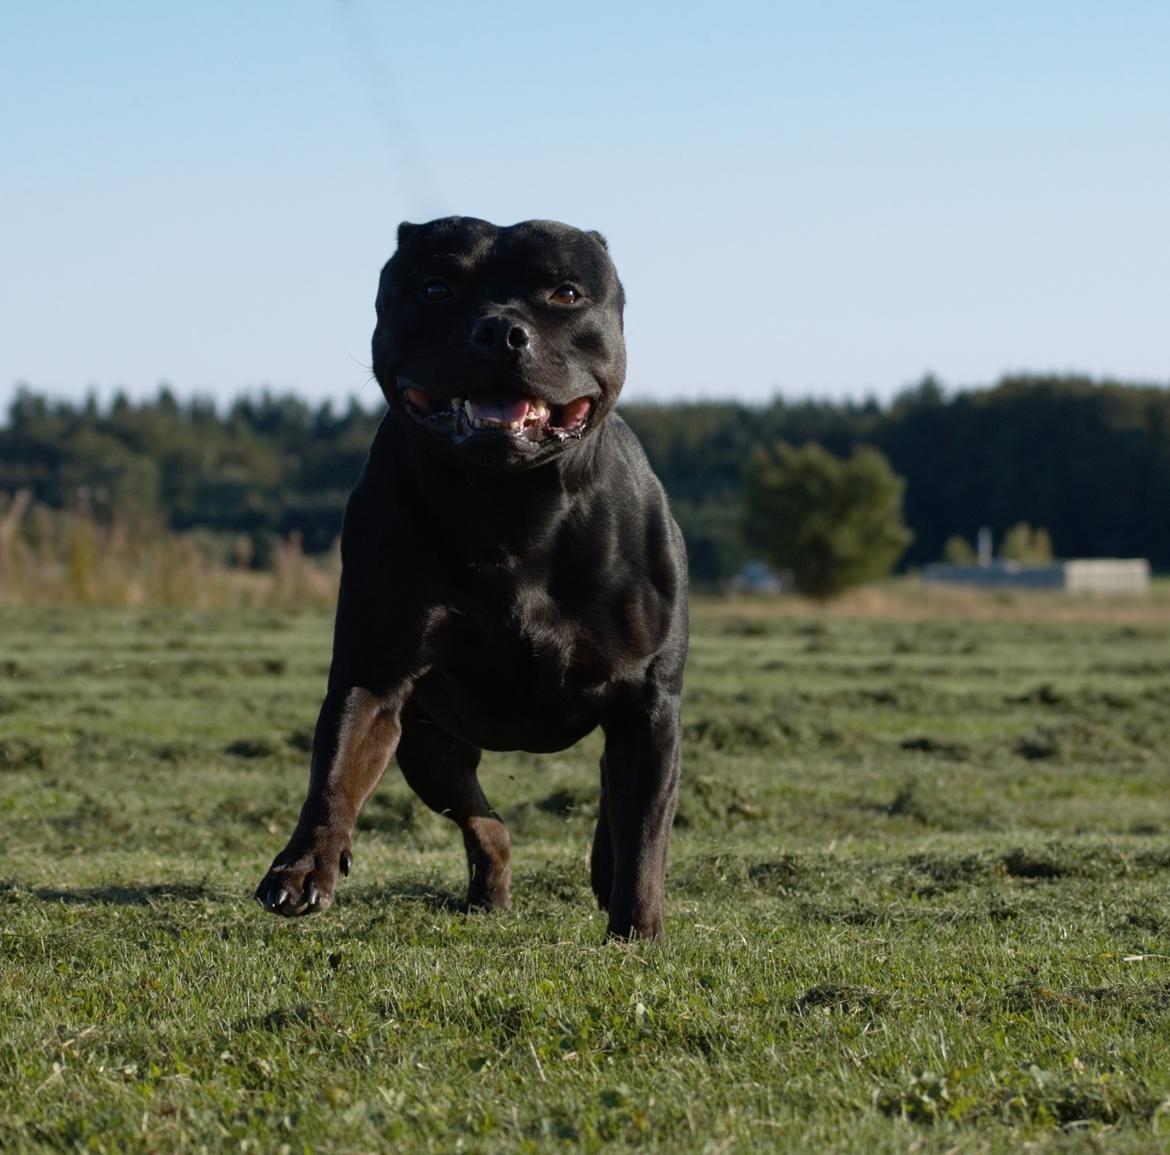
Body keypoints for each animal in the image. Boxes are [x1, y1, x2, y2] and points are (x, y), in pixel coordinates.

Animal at [256, 216, 683, 940]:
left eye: (566, 293)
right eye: (435, 287)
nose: (502, 330)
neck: (509, 504)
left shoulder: (648, 703)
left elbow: (645, 830)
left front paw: (637, 927)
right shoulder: (374, 674)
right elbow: (335, 770)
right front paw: (304, 865)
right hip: (430, 747)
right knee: (485, 823)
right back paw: (489, 890)